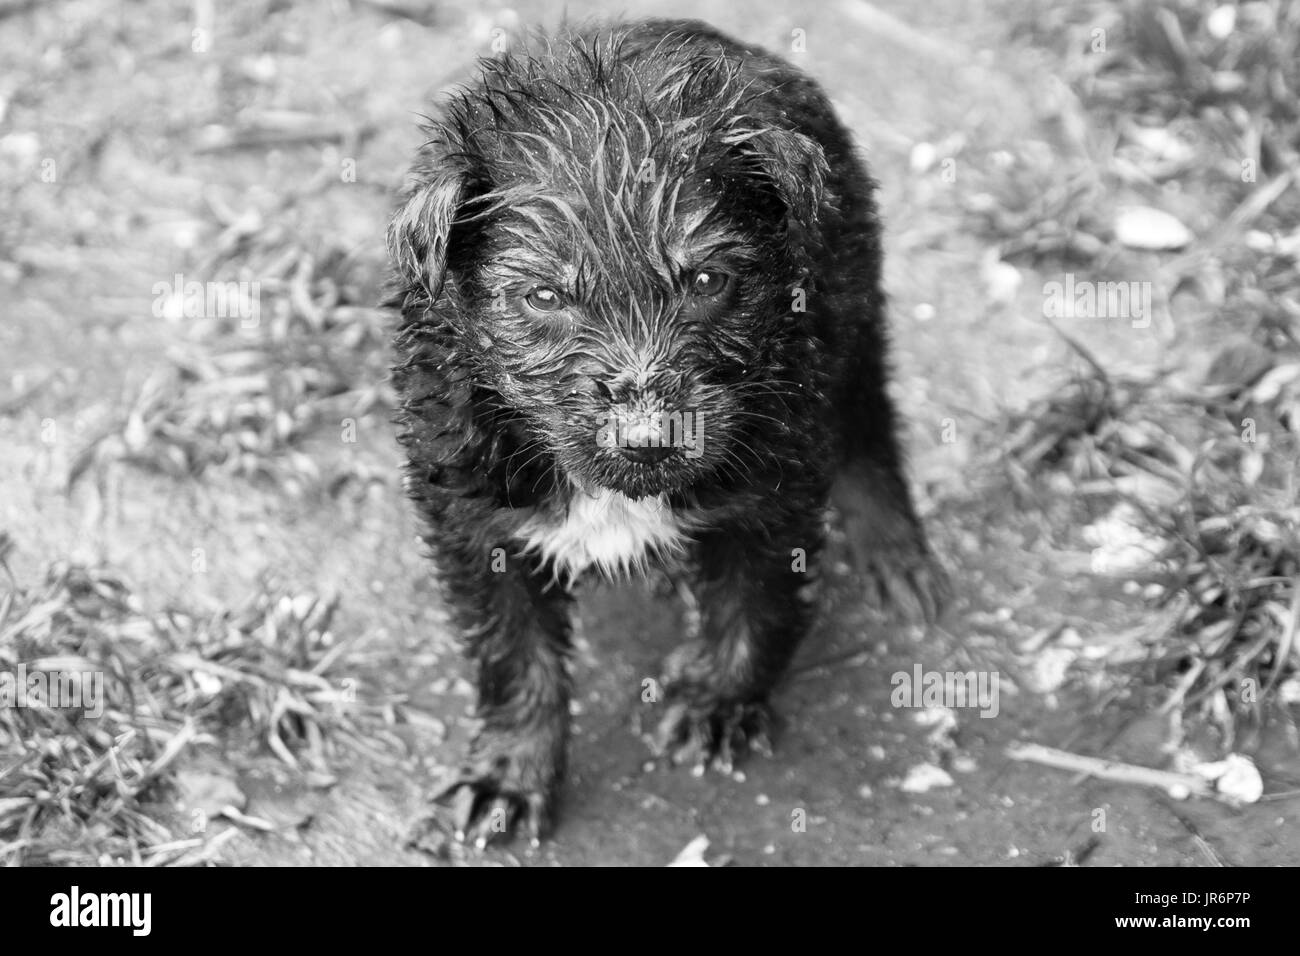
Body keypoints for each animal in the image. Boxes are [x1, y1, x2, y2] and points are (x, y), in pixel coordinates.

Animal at [384, 18, 946, 842]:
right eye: (544, 296)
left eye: (708, 281)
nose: (651, 436)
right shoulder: (471, 510)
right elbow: (512, 654)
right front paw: (508, 776)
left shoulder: (774, 480)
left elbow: (757, 603)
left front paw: (716, 703)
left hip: (852, 298)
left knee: (869, 425)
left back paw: (898, 555)